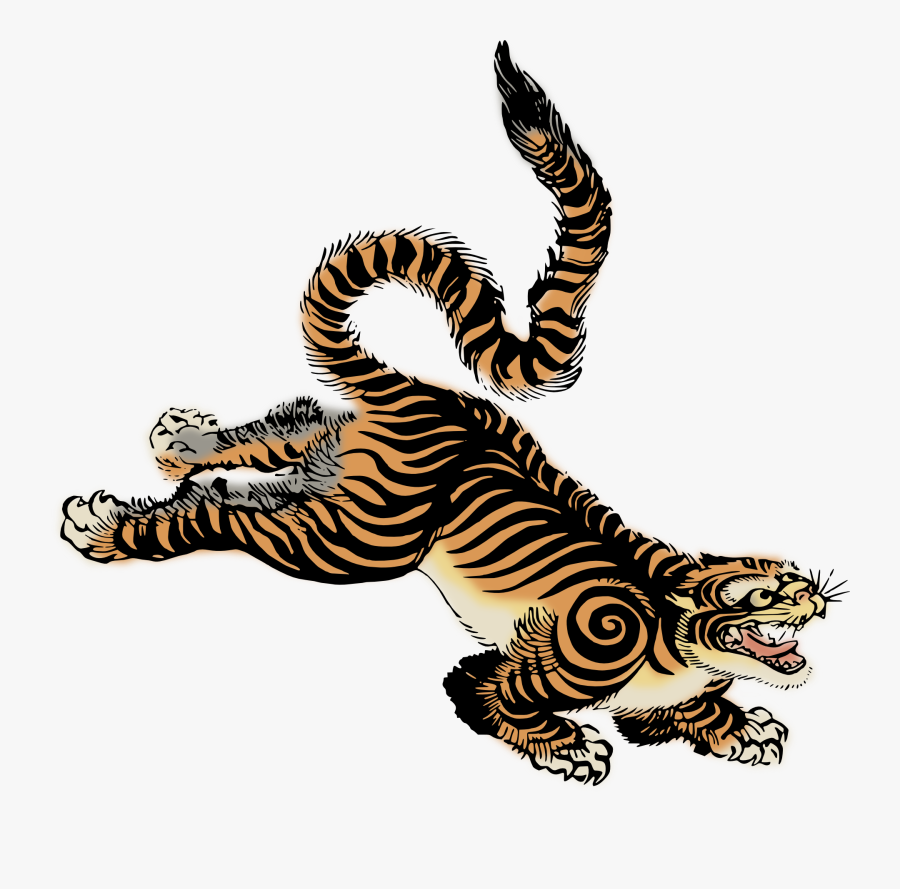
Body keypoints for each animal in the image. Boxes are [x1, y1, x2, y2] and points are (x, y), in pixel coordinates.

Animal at [61, 42, 838, 785]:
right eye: (765, 590)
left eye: (795, 577)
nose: (817, 596)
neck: (675, 637)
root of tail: (423, 393)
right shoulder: (535, 661)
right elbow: (495, 699)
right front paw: (568, 748)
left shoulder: (659, 701)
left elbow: (689, 711)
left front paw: (741, 727)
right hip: (363, 540)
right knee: (225, 517)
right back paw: (105, 527)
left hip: (336, 474)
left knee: (287, 431)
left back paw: (182, 443)